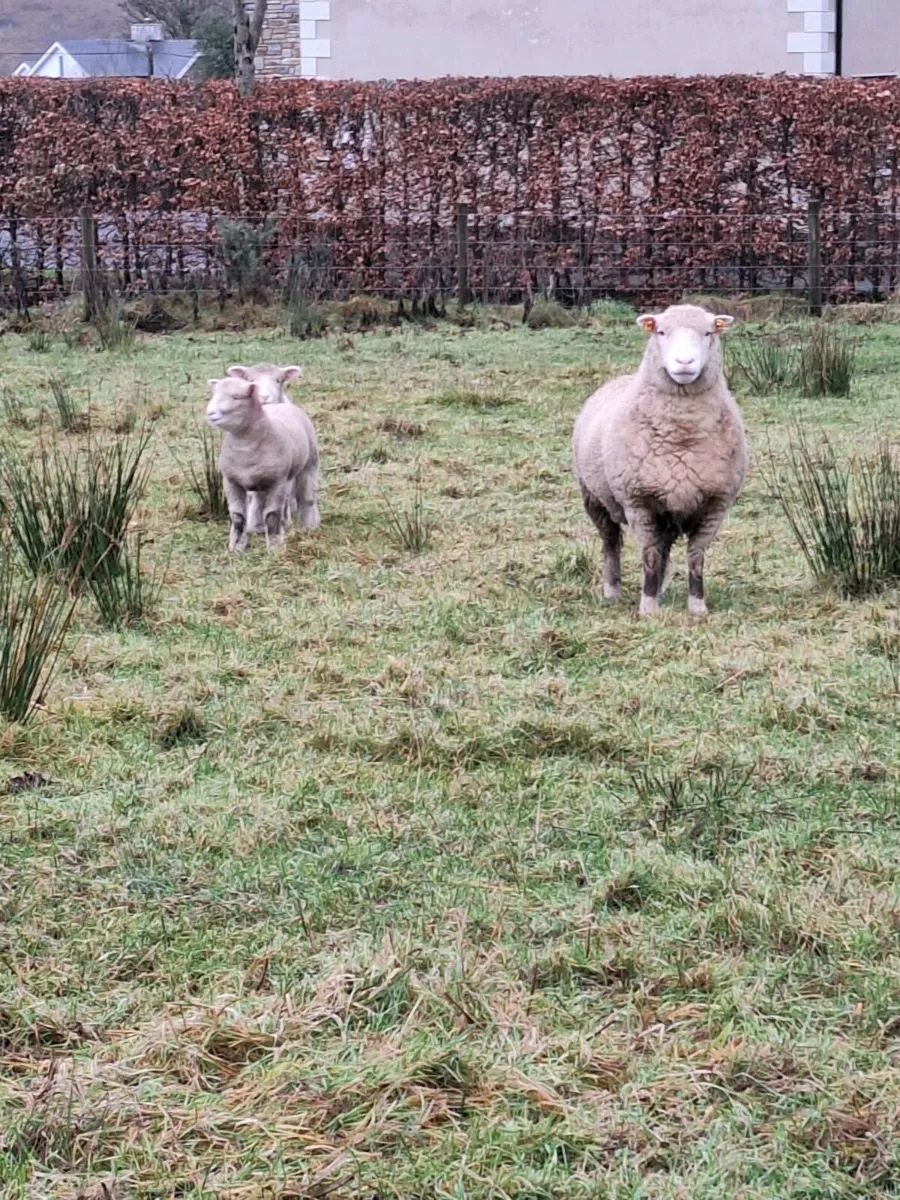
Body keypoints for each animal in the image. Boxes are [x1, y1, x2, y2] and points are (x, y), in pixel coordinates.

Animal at [205, 376, 320, 551]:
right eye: (214, 395)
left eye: (236, 397)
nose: (210, 413)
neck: (245, 446)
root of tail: (280, 404)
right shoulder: (231, 481)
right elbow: (238, 516)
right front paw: (236, 546)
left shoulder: (278, 482)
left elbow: (272, 515)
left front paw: (275, 546)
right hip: (261, 479)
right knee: (259, 501)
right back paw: (258, 528)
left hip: (309, 464)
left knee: (306, 498)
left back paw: (308, 527)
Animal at [572, 304, 747, 616]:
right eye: (661, 332)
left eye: (708, 332)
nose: (685, 361)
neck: (682, 436)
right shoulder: (638, 501)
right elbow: (650, 556)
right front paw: (649, 608)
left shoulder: (715, 504)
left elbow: (695, 558)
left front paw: (697, 606)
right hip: (595, 497)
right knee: (610, 542)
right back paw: (612, 590)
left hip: (667, 509)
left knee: (664, 547)